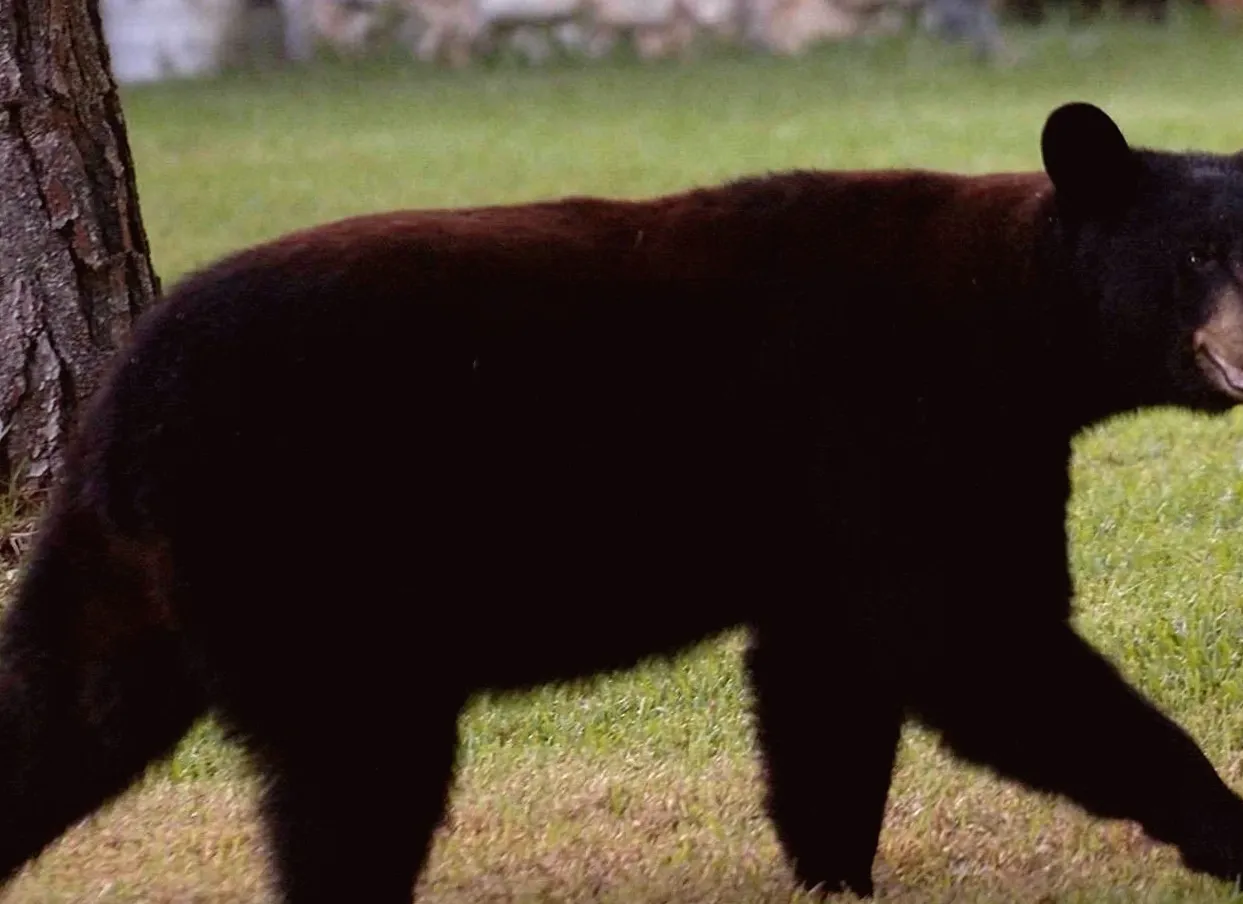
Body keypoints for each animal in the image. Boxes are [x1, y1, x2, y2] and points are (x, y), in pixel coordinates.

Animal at [1, 101, 1243, 903]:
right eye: (1195, 257)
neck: (1012, 316)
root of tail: (125, 391)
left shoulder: (841, 517)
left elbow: (824, 683)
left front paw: (834, 870)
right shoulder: (905, 435)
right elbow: (973, 642)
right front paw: (1223, 824)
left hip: (123, 572)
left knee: (58, 709)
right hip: (305, 556)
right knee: (352, 777)